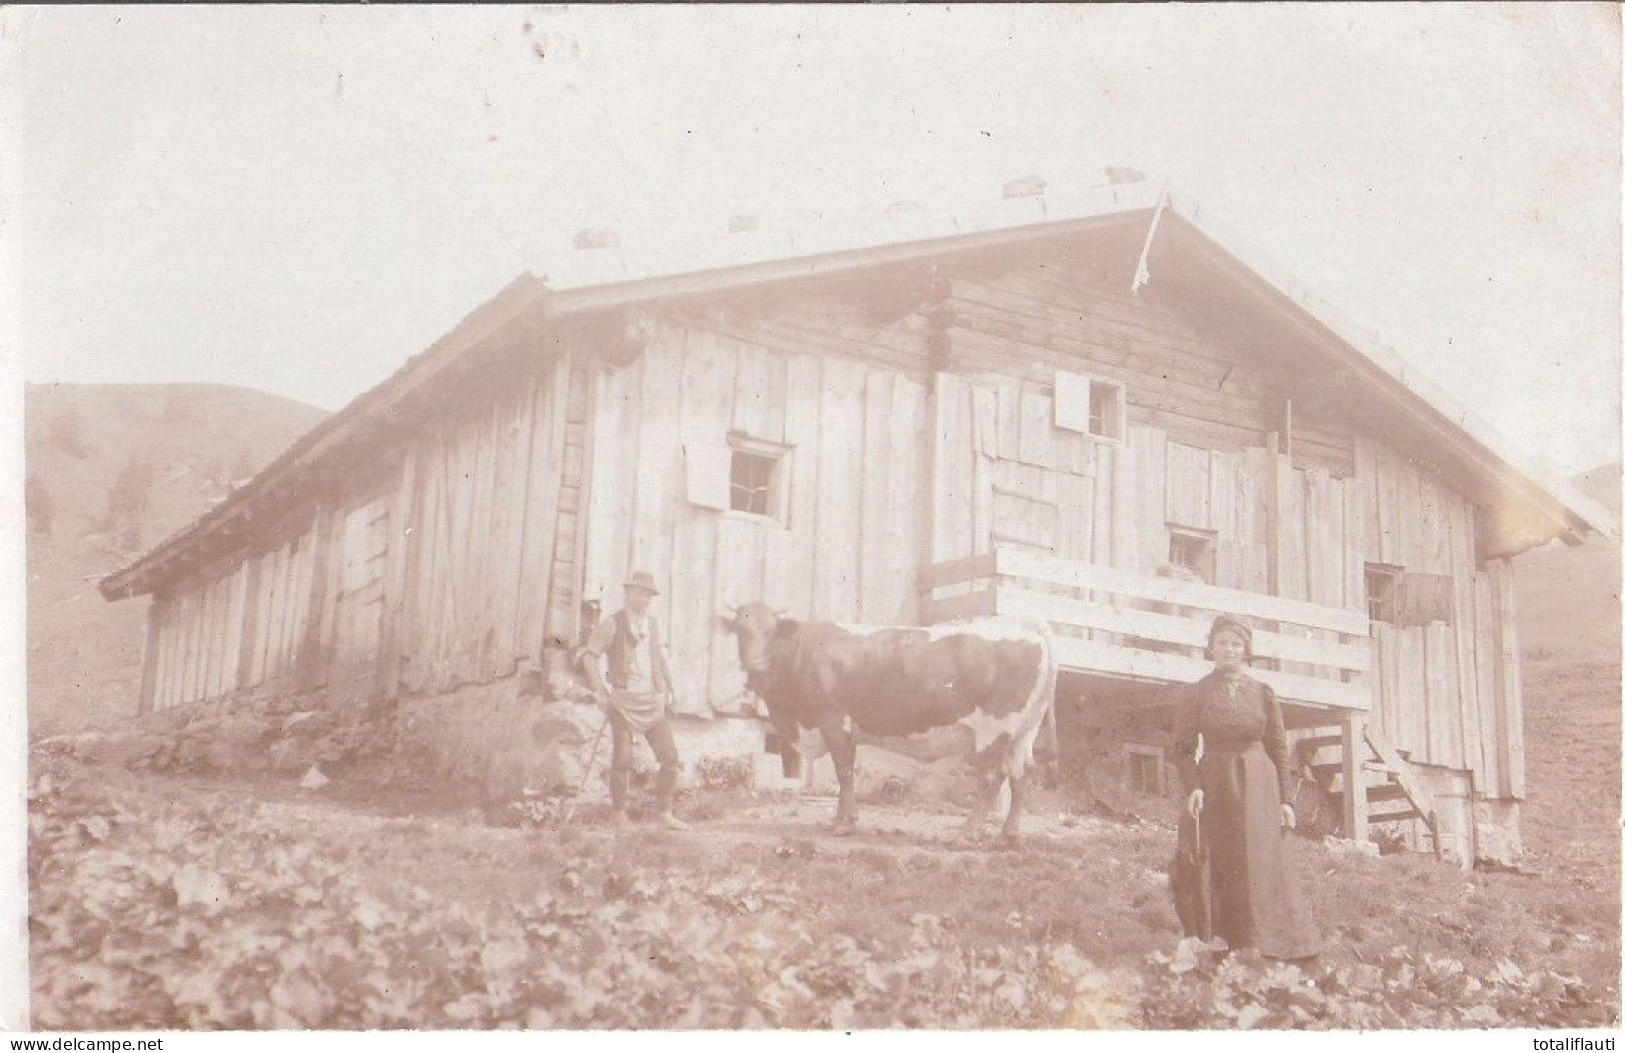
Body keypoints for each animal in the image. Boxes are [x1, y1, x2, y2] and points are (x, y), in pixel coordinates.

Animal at [721, 604, 1053, 845]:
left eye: (771, 631)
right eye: (740, 630)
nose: (755, 664)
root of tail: (1024, 622)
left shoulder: (833, 720)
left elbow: (844, 772)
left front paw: (846, 824)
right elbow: (846, 773)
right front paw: (839, 819)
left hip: (994, 729)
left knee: (992, 776)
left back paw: (967, 833)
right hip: (1025, 730)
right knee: (1021, 771)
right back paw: (1010, 834)